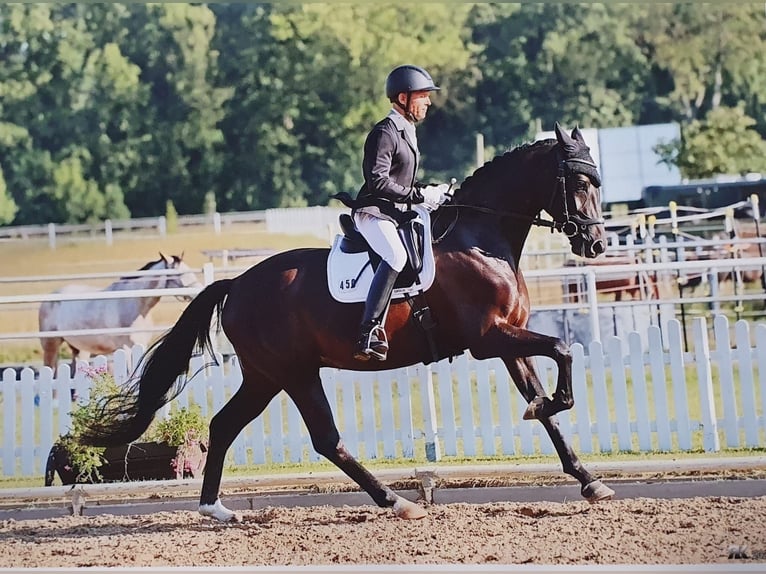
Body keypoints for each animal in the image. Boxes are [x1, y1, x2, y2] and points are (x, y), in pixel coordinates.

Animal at [39, 255, 202, 374]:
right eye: (180, 274)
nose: (198, 292)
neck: (135, 304)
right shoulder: (126, 348)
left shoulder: (141, 345)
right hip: (51, 345)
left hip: (79, 348)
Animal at [81, 124, 616, 524]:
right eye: (580, 183)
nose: (595, 245)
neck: (479, 235)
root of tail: (236, 284)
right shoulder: (488, 339)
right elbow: (562, 351)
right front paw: (555, 405)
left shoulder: (509, 340)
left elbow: (547, 406)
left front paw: (588, 479)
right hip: (295, 373)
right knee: (326, 440)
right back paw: (395, 502)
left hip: (264, 376)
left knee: (224, 424)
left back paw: (216, 509)